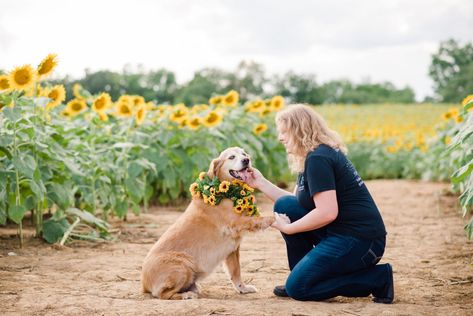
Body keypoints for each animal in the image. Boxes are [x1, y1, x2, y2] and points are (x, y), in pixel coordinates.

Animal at [140, 147, 272, 300]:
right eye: (232, 157)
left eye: (244, 154)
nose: (246, 160)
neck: (226, 193)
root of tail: (144, 284)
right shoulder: (236, 223)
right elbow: (257, 220)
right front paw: (274, 218)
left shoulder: (233, 249)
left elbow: (236, 272)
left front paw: (242, 289)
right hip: (184, 264)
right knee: (163, 294)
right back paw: (187, 295)